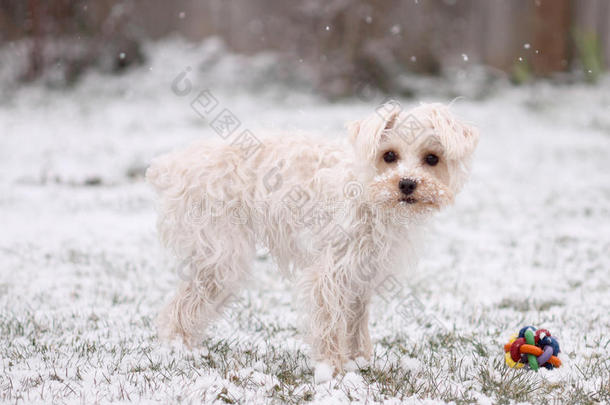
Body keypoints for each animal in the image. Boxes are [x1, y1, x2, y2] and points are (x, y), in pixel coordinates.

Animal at [145, 102, 478, 374]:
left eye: (432, 159)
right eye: (389, 156)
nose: (407, 183)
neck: (367, 193)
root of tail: (173, 166)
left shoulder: (362, 271)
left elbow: (356, 320)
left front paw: (359, 360)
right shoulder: (329, 273)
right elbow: (330, 321)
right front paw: (332, 371)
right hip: (222, 259)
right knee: (182, 307)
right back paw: (179, 349)